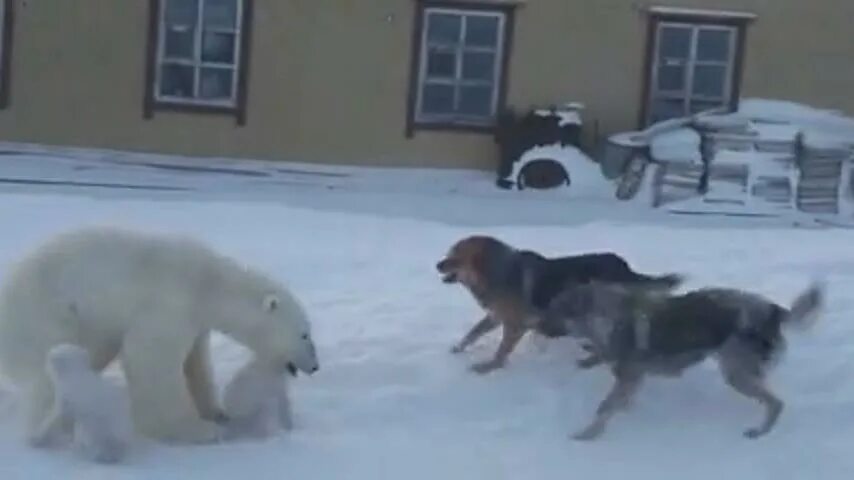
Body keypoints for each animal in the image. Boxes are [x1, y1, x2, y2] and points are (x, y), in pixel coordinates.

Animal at [0, 227, 320, 444]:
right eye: (304, 335)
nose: (315, 366)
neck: (208, 283)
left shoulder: (195, 320)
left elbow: (196, 364)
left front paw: (216, 412)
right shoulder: (169, 301)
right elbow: (151, 360)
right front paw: (198, 430)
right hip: (47, 316)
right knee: (47, 375)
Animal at [438, 236, 684, 376]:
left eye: (455, 258)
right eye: (448, 254)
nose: (437, 265)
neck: (498, 271)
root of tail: (624, 267)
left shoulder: (515, 324)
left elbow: (502, 350)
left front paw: (490, 367)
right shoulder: (496, 317)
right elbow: (473, 333)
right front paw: (458, 348)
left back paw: (592, 359)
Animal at [540, 282, 824, 442]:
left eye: (556, 311)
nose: (537, 325)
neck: (608, 318)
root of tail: (773, 309)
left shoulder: (629, 377)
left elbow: (604, 409)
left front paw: (588, 435)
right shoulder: (631, 379)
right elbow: (617, 402)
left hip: (735, 374)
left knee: (776, 403)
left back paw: (760, 432)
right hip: (741, 372)